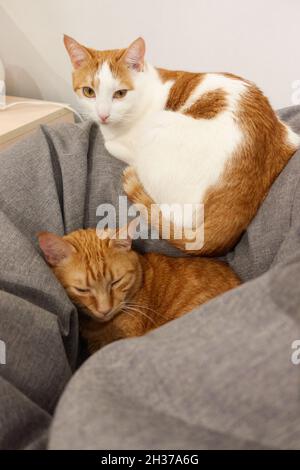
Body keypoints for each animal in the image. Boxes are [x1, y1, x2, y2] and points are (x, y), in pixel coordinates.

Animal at [63, 35, 300, 255]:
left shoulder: (127, 144)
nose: (102, 115)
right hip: (288, 134)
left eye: (120, 94)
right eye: (89, 92)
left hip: (157, 128)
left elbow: (110, 145)